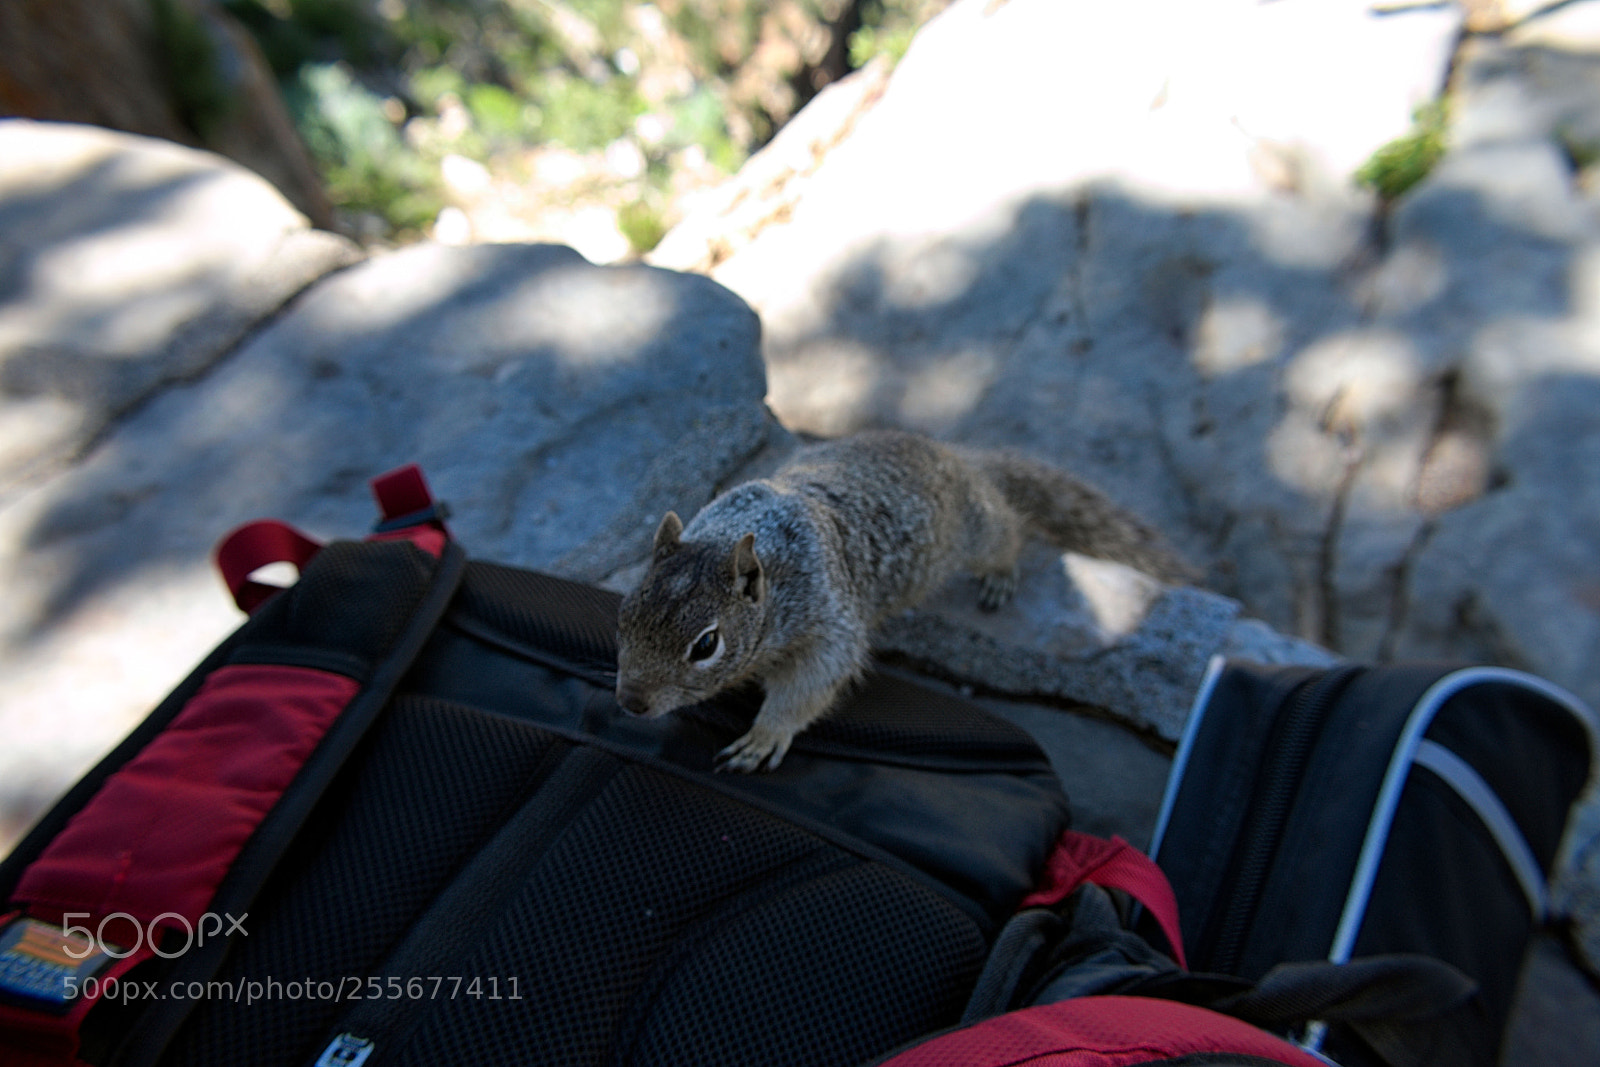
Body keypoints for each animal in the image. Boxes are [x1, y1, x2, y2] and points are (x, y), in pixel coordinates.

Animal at [614, 429, 1191, 772]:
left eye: (706, 644)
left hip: (976, 530)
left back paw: (1001, 575)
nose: (630, 702)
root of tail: (955, 456)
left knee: (1007, 531)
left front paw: (763, 736)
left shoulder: (829, 624)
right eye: (625, 614)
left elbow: (809, 687)